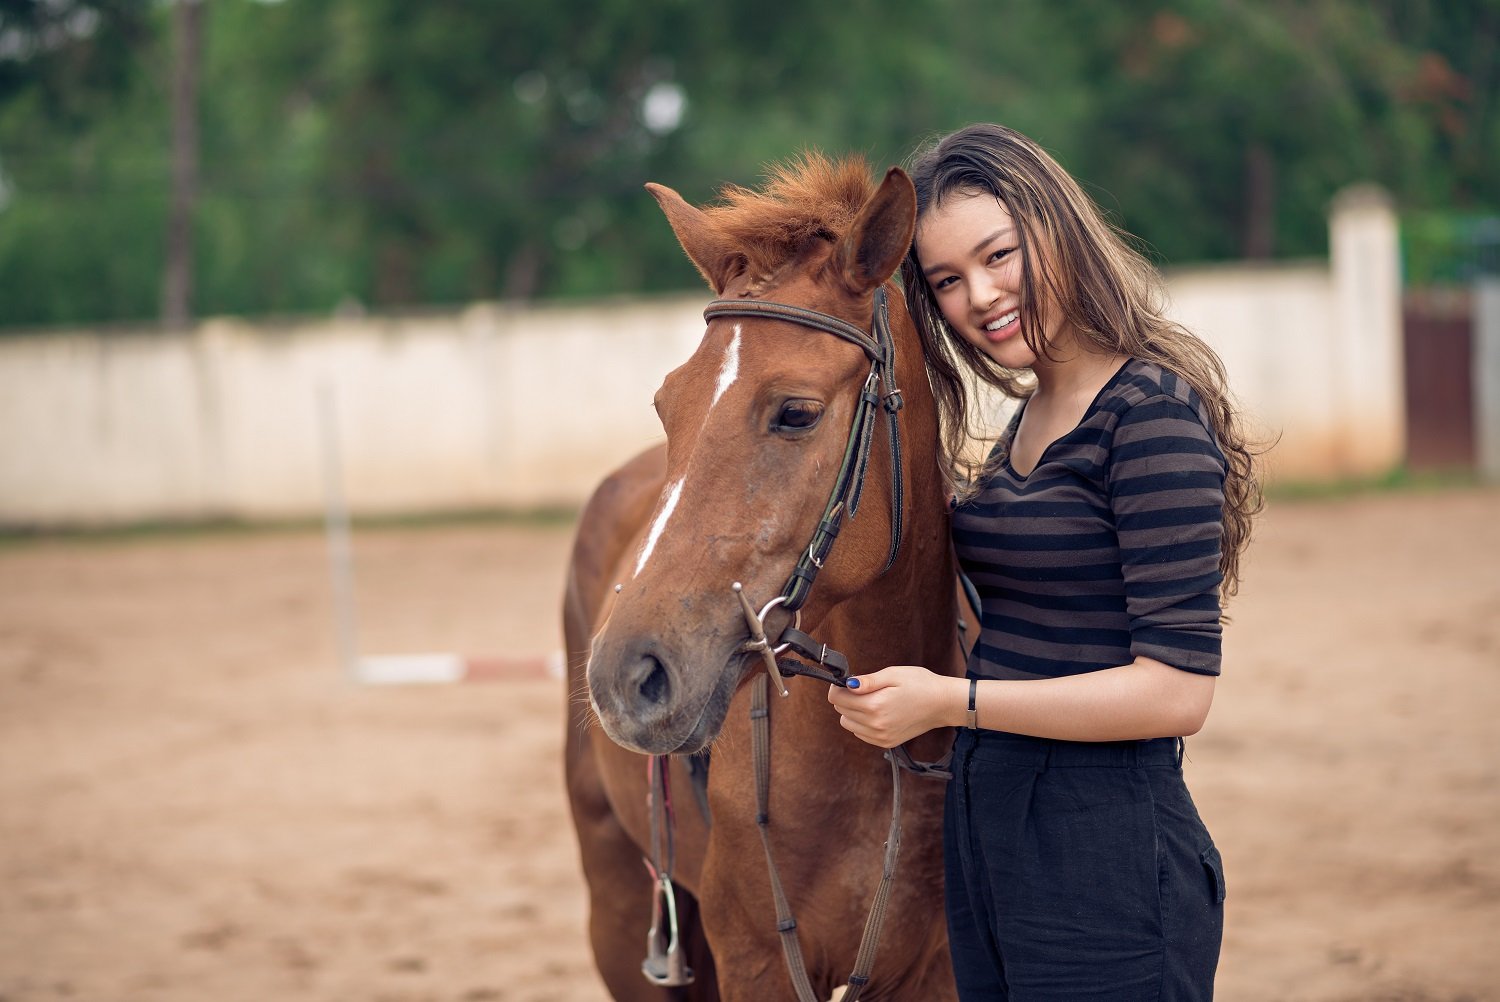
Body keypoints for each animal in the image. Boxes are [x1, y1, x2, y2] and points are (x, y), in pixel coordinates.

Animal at [564, 156, 960, 1002]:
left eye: (797, 412)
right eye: (666, 404)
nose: (626, 675)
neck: (874, 763)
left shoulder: (938, 971)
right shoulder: (754, 960)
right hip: (621, 909)